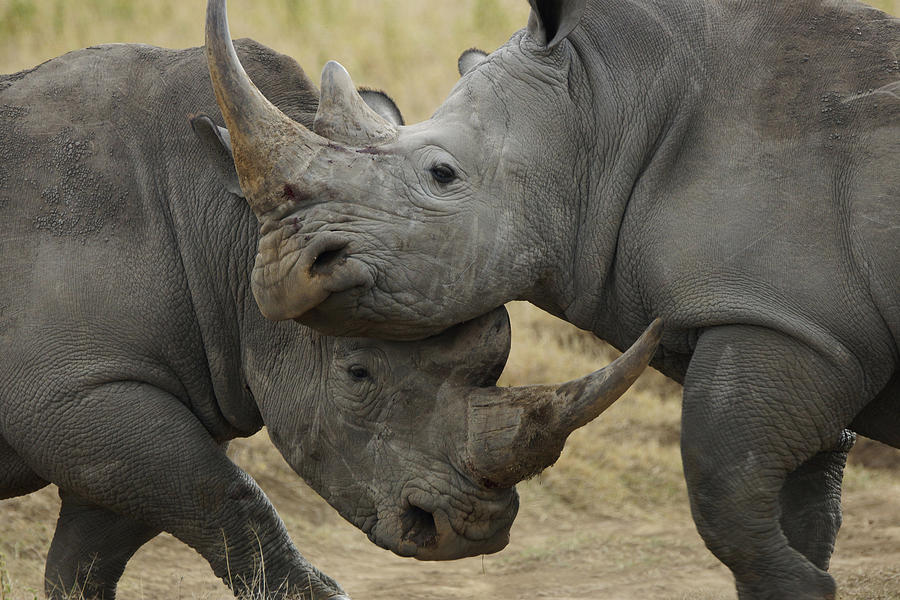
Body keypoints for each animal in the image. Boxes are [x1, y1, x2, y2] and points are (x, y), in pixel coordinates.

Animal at [0, 39, 664, 599]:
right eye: (357, 374)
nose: (468, 530)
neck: (223, 229)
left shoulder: (120, 398)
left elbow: (88, 559)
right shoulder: (72, 392)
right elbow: (228, 500)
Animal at [206, 0, 900, 598]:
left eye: (441, 174)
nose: (282, 265)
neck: (601, 106)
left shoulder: (790, 321)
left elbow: (722, 481)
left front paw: (801, 586)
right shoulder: (805, 326)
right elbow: (797, 502)